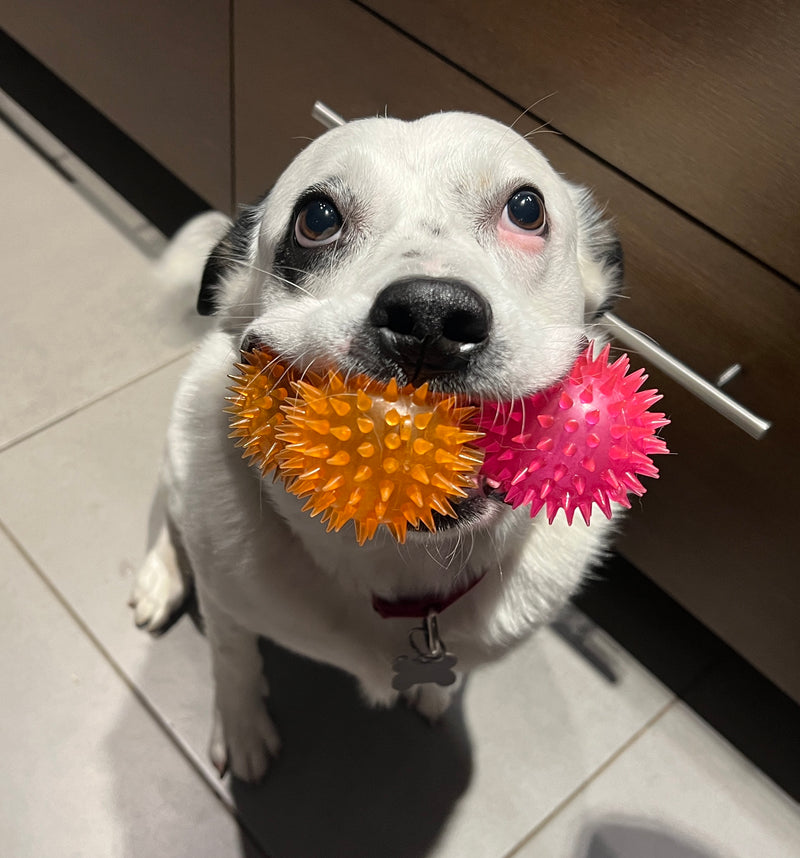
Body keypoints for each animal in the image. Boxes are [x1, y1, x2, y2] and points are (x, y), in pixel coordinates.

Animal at [130, 113, 624, 784]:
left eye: (527, 208)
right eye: (316, 217)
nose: (431, 318)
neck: (404, 565)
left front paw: (435, 691)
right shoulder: (227, 598)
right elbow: (234, 660)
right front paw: (242, 727)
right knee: (166, 510)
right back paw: (160, 576)